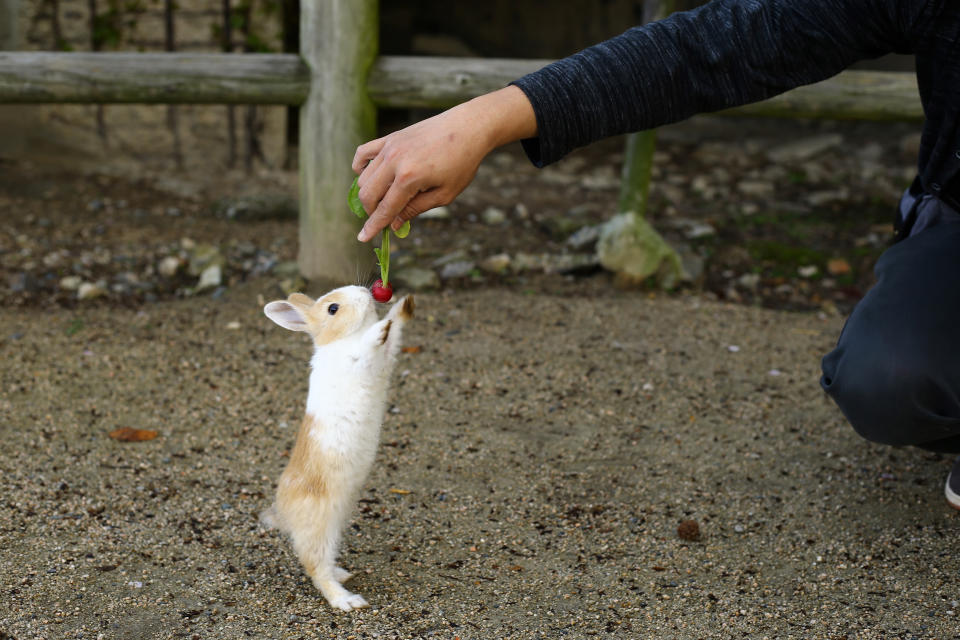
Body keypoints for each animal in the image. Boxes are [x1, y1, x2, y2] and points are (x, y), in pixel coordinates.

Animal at [260, 284, 414, 608]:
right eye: (333, 308)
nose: (365, 291)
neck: (340, 339)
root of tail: (283, 514)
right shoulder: (358, 360)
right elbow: (367, 346)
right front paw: (379, 327)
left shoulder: (386, 359)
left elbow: (393, 337)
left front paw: (403, 305)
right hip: (321, 529)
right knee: (316, 568)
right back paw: (347, 601)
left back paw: (343, 573)